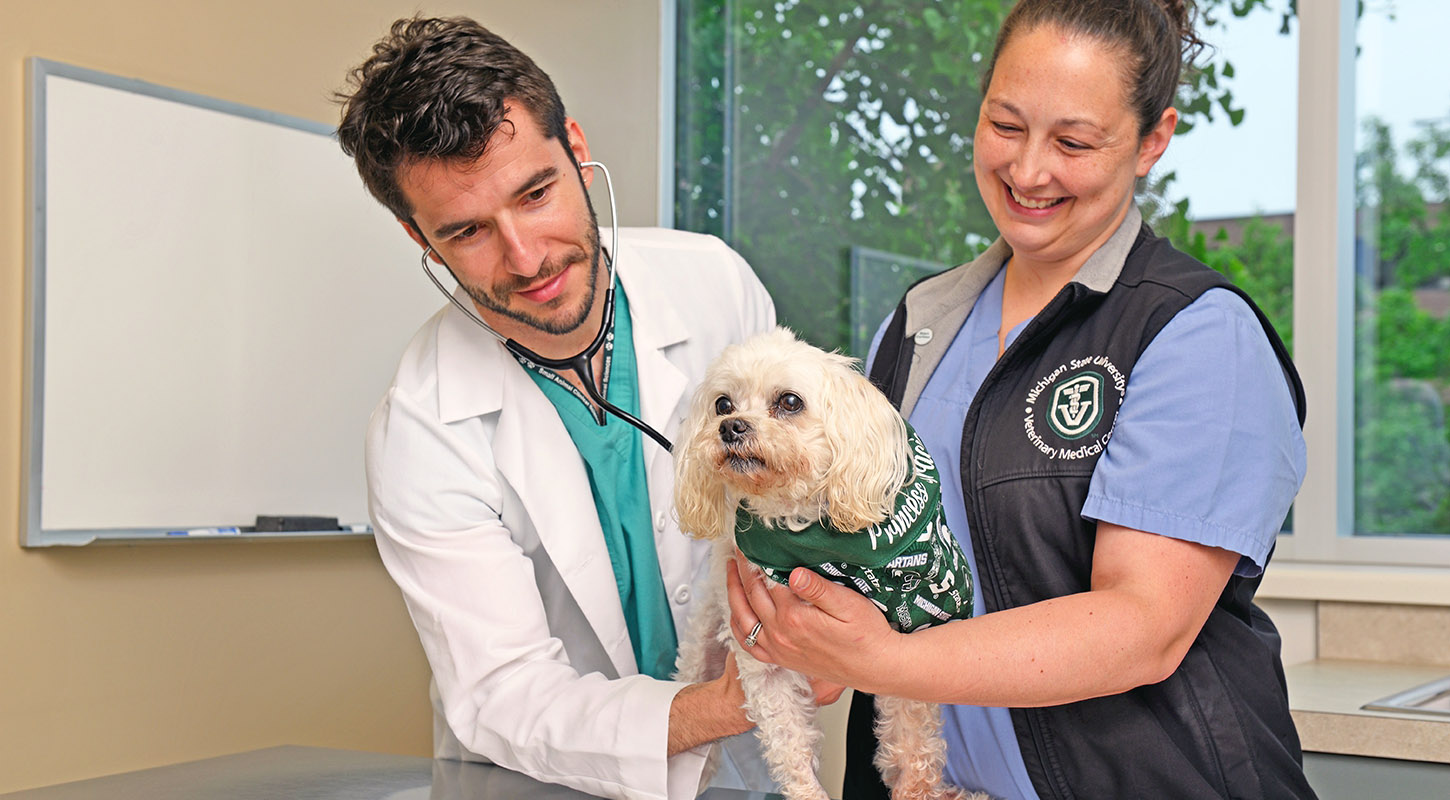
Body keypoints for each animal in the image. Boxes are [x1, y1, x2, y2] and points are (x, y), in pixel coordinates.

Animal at [672, 326, 980, 800]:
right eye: (722, 404)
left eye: (789, 401)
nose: (730, 426)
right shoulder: (762, 660)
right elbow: (789, 746)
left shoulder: (905, 646)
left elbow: (914, 742)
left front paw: (919, 790)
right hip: (703, 639)